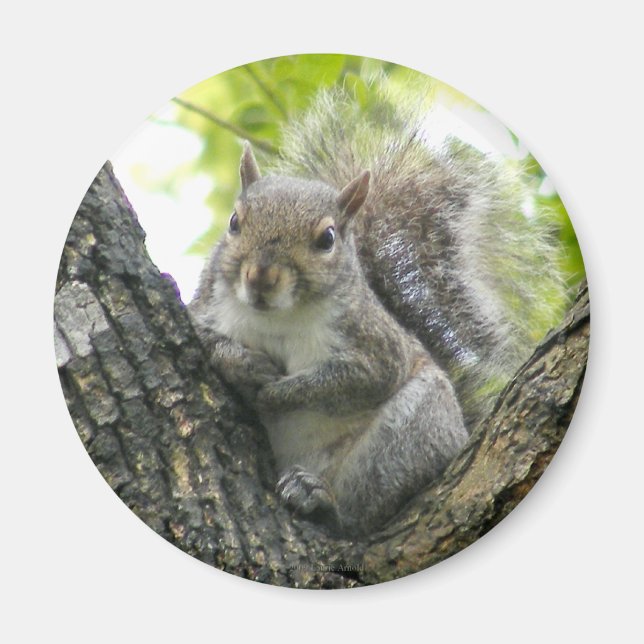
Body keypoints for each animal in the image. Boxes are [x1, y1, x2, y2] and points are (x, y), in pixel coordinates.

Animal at [188, 86, 564, 536]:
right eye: (234, 222)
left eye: (327, 238)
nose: (261, 277)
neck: (278, 316)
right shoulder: (205, 305)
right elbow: (206, 339)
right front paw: (244, 365)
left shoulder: (376, 347)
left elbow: (352, 381)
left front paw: (281, 392)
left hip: (410, 432)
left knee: (363, 509)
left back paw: (320, 499)